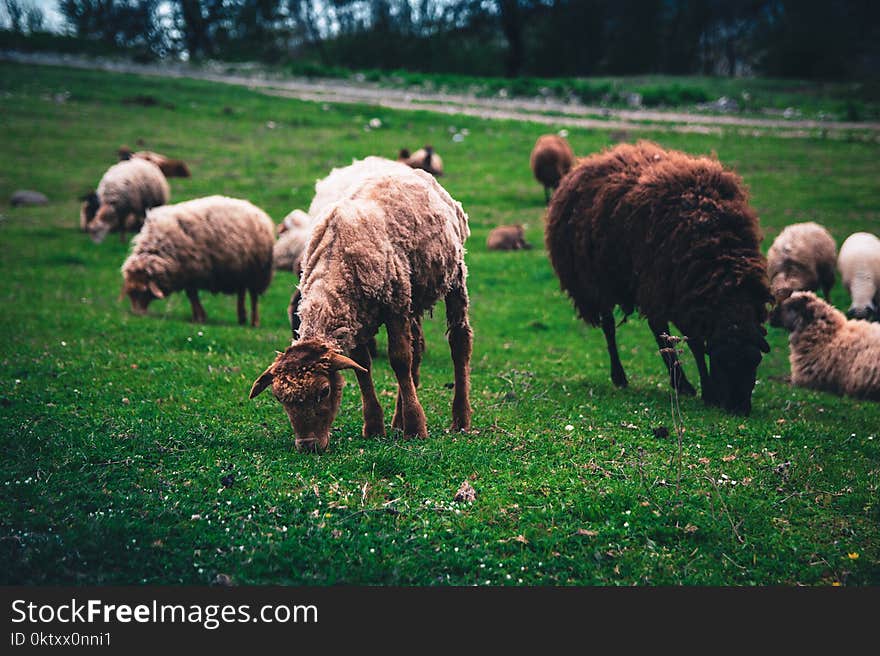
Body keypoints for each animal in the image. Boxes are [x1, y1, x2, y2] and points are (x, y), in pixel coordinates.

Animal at [118, 195, 274, 328]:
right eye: (131, 292)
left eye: (143, 290)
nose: (137, 314)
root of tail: (256, 210)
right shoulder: (186, 274)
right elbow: (192, 296)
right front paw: (197, 316)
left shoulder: (192, 271)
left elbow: (192, 296)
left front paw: (199, 317)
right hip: (241, 271)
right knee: (241, 293)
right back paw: (241, 318)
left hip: (256, 271)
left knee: (253, 297)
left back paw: (254, 322)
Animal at [544, 140, 768, 416]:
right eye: (722, 360)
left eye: (756, 361)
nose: (739, 409)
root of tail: (594, 160)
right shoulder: (666, 288)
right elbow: (692, 344)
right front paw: (705, 390)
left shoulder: (685, 294)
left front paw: (704, 390)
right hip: (599, 282)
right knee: (611, 327)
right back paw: (624, 377)